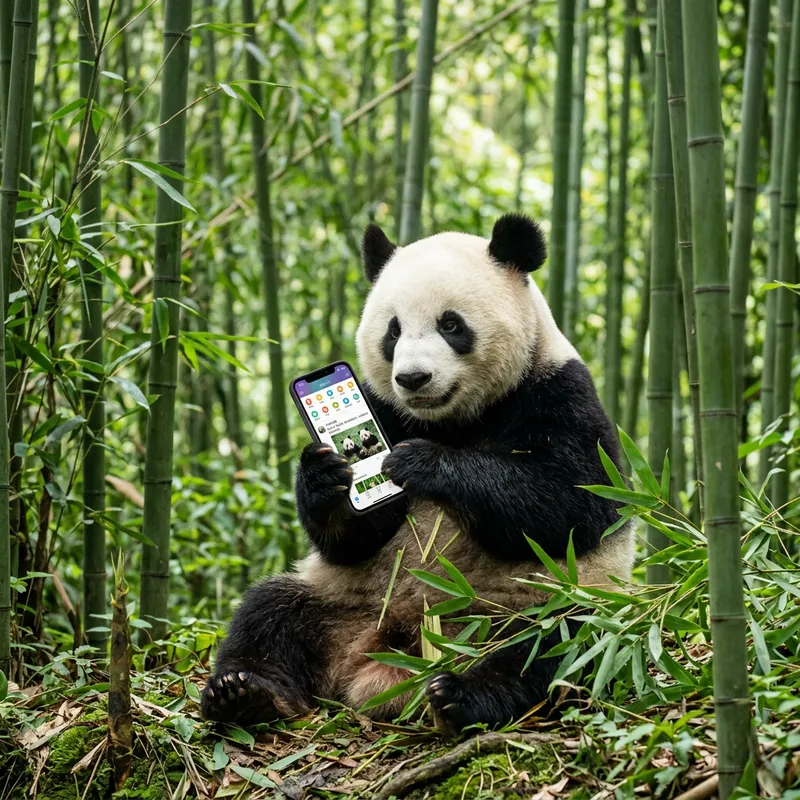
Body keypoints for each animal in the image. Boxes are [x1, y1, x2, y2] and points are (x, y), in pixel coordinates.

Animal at [201, 214, 633, 735]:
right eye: (393, 331)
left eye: (450, 324)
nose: (412, 378)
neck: (451, 420)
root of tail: (390, 656)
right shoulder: (385, 407)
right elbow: (352, 539)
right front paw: (326, 477)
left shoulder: (558, 392)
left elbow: (572, 503)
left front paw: (421, 464)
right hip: (342, 596)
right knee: (269, 613)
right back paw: (245, 694)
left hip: (540, 600)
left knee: (559, 640)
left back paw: (463, 696)